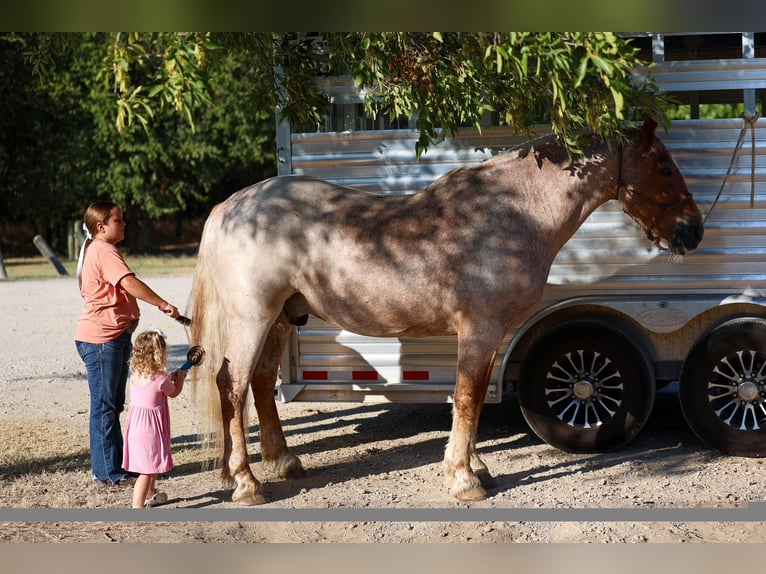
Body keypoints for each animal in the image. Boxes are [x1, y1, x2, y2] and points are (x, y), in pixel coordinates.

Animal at [187, 117, 703, 505]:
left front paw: (475, 467)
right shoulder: (479, 328)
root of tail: (230, 206)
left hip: (280, 318)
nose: (693, 231)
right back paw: (246, 483)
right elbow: (469, 396)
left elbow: (471, 396)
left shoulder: (492, 335)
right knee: (231, 385)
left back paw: (284, 462)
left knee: (259, 382)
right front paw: (464, 479)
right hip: (253, 319)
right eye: (662, 166)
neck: (513, 213)